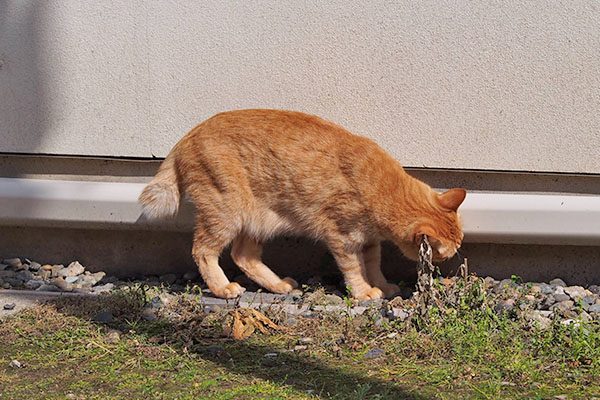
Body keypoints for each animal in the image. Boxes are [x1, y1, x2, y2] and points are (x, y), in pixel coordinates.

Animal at [138, 109, 466, 300]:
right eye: (444, 253)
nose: (446, 262)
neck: (383, 187)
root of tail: (187, 135)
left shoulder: (370, 241)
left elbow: (373, 264)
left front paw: (382, 285)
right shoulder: (342, 238)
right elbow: (354, 268)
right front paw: (363, 291)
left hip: (257, 221)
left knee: (244, 256)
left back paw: (278, 285)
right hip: (226, 213)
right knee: (203, 251)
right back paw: (222, 288)